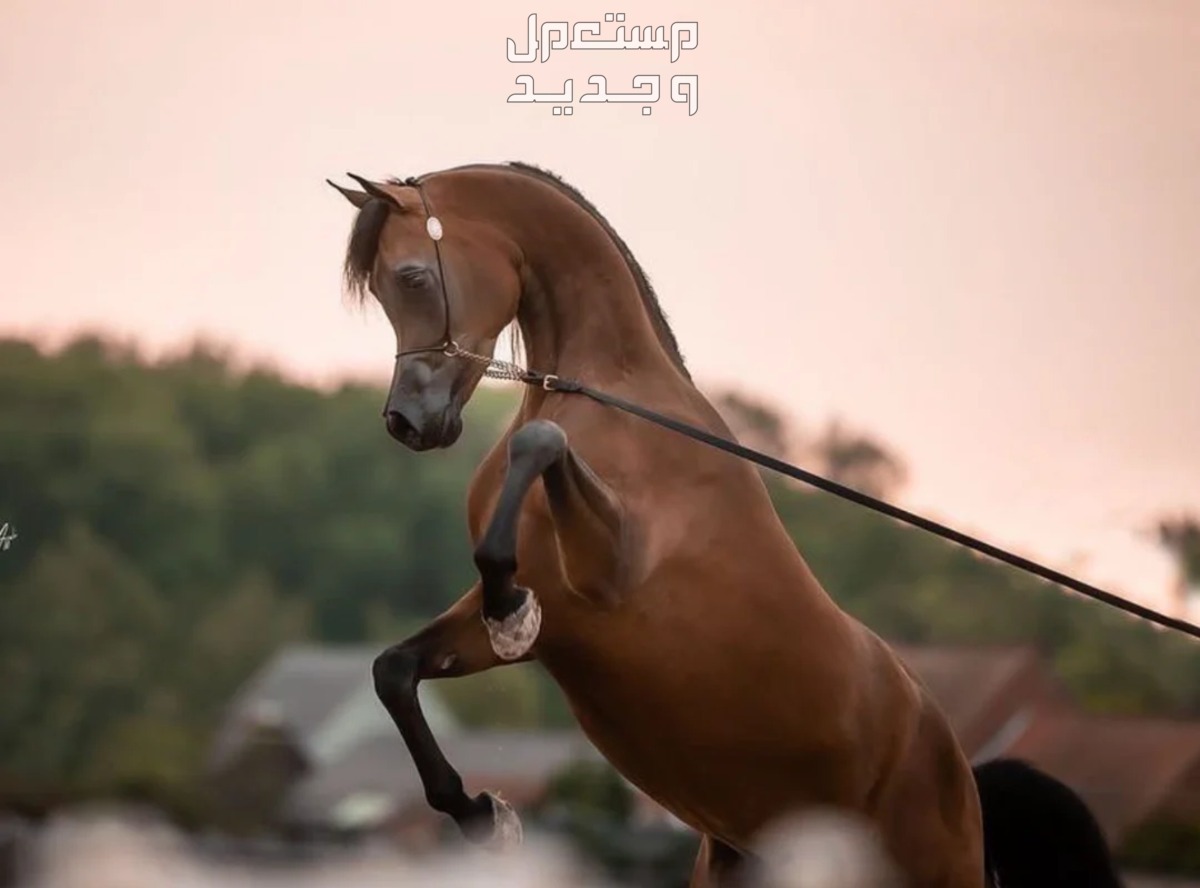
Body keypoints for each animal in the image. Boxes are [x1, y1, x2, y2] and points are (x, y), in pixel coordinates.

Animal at [328, 163, 1123, 883]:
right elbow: (393, 670)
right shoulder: (560, 625)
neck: (608, 397)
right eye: (385, 286)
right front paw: (480, 815)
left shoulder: (607, 570)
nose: (407, 422)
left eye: (412, 277)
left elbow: (541, 448)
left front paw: (508, 610)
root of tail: (967, 781)